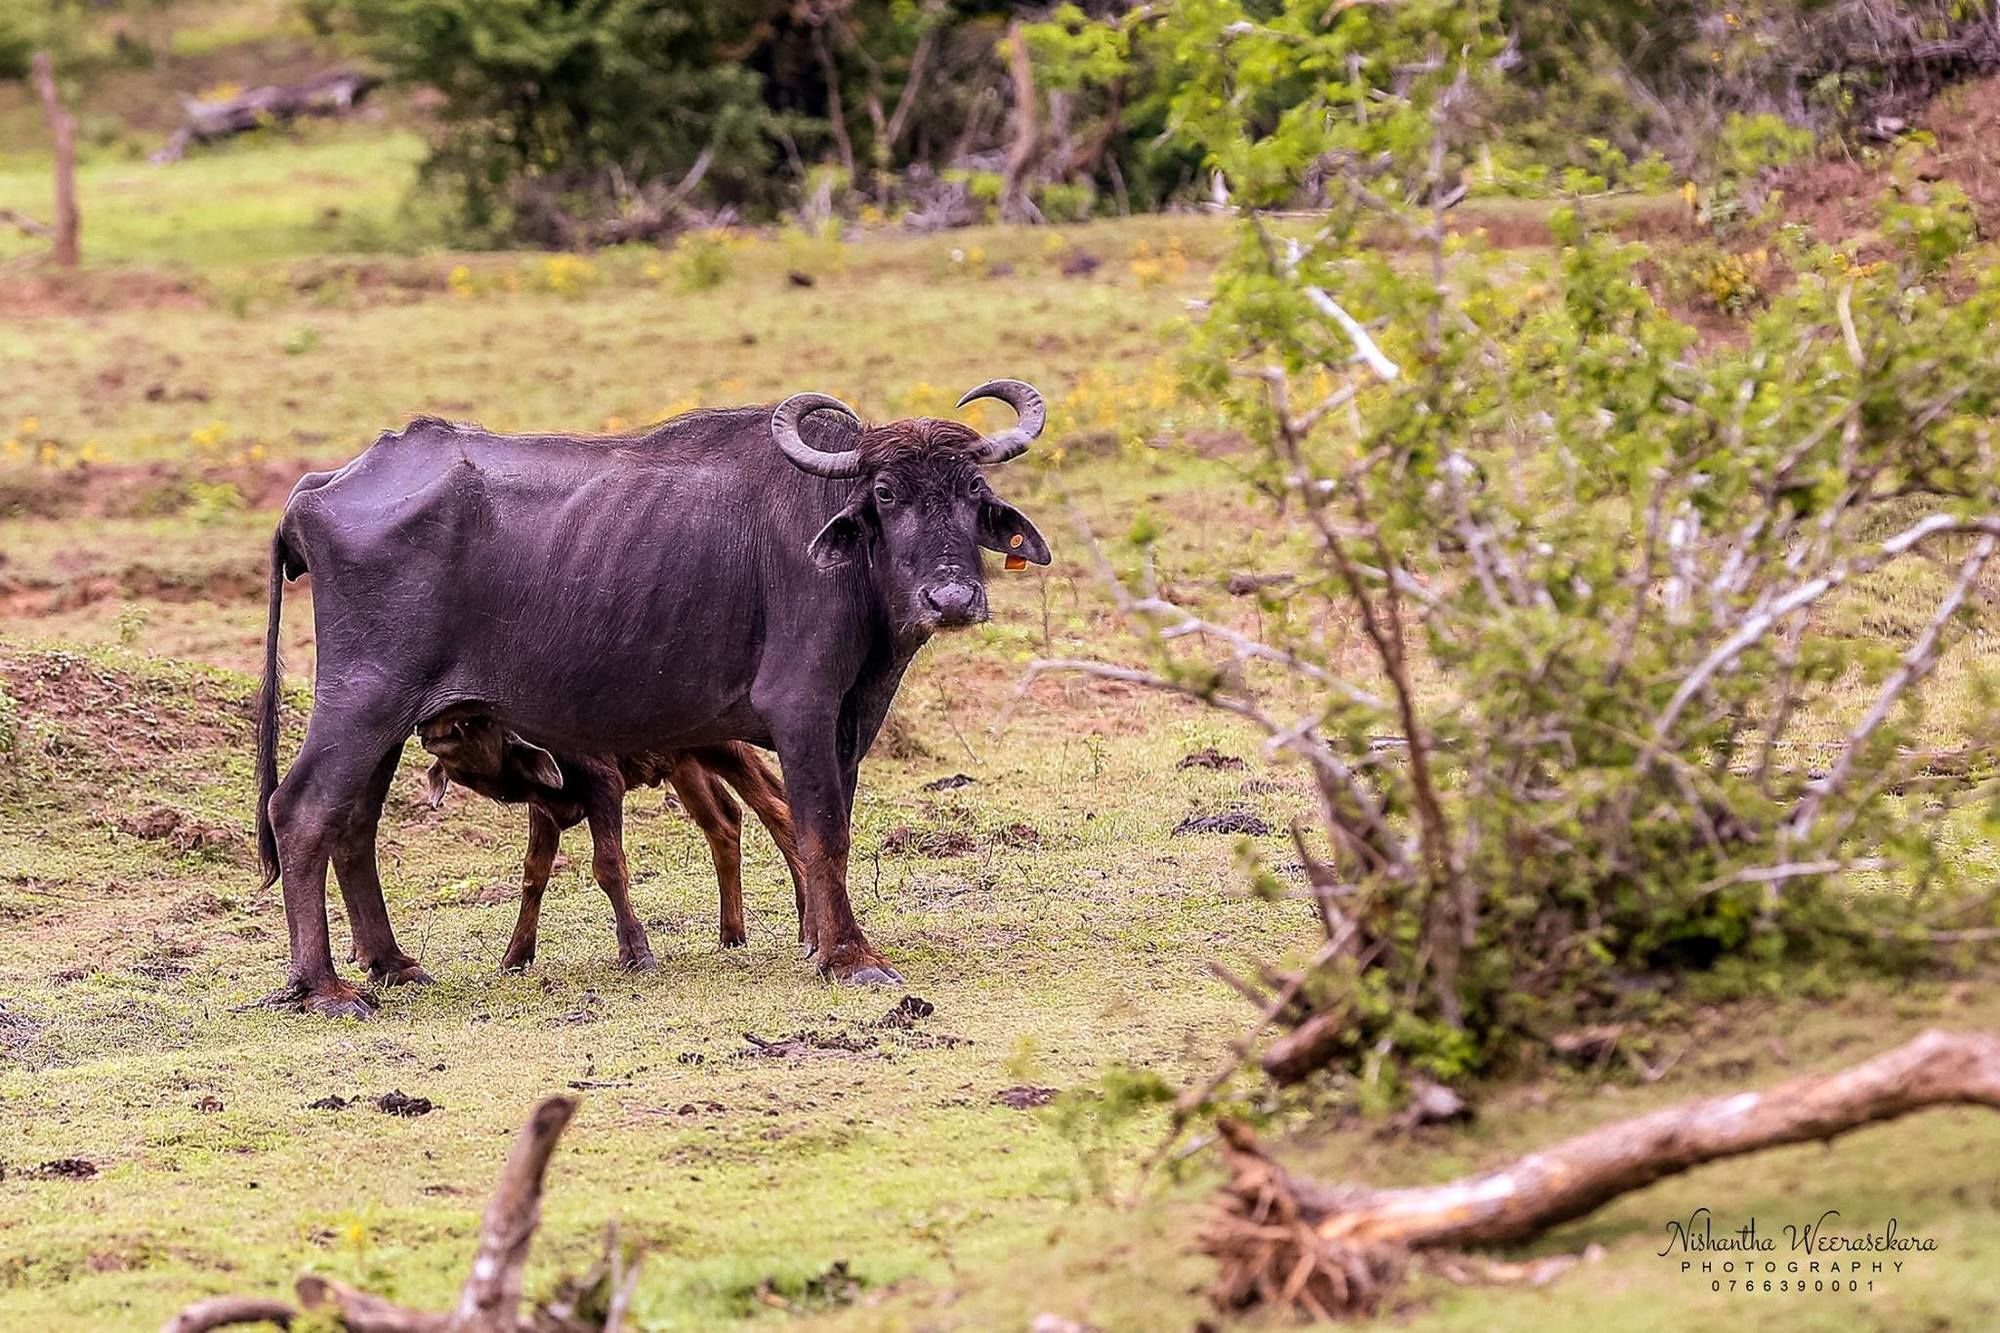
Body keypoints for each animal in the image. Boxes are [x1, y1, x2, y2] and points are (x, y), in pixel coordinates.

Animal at [422, 704, 804, 964]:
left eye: (471, 721)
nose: (427, 727)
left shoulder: (604, 784)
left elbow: (608, 866)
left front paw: (636, 952)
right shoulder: (543, 806)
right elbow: (534, 873)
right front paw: (516, 955)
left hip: (723, 746)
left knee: (776, 809)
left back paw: (804, 923)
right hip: (684, 763)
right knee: (725, 821)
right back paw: (731, 934)